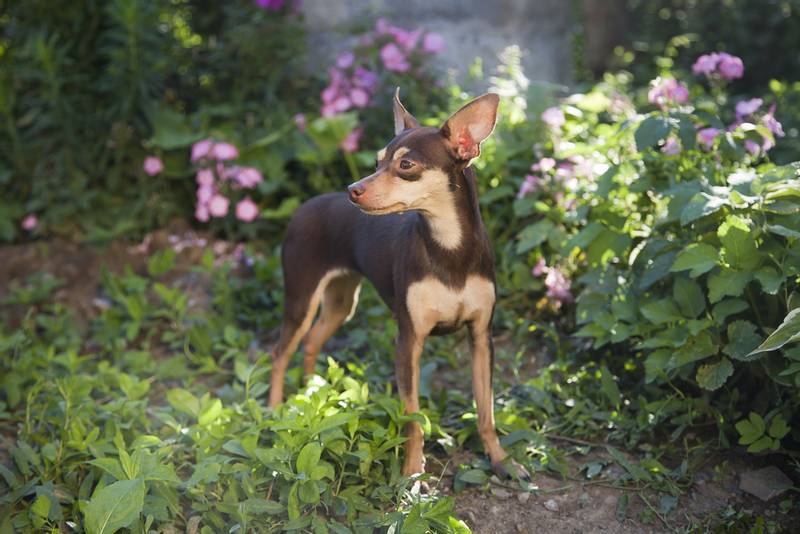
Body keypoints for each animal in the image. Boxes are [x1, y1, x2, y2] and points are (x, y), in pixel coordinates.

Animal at [272, 90, 528, 480]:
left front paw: (501, 460)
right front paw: (411, 474)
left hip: (341, 304)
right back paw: (273, 413)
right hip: (301, 300)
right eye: (377, 162)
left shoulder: (481, 337)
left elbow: (486, 410)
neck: (447, 246)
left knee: (312, 341)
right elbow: (413, 419)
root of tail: (304, 206)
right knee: (279, 354)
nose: (353, 189)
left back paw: (312, 392)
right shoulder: (409, 341)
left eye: (406, 165)